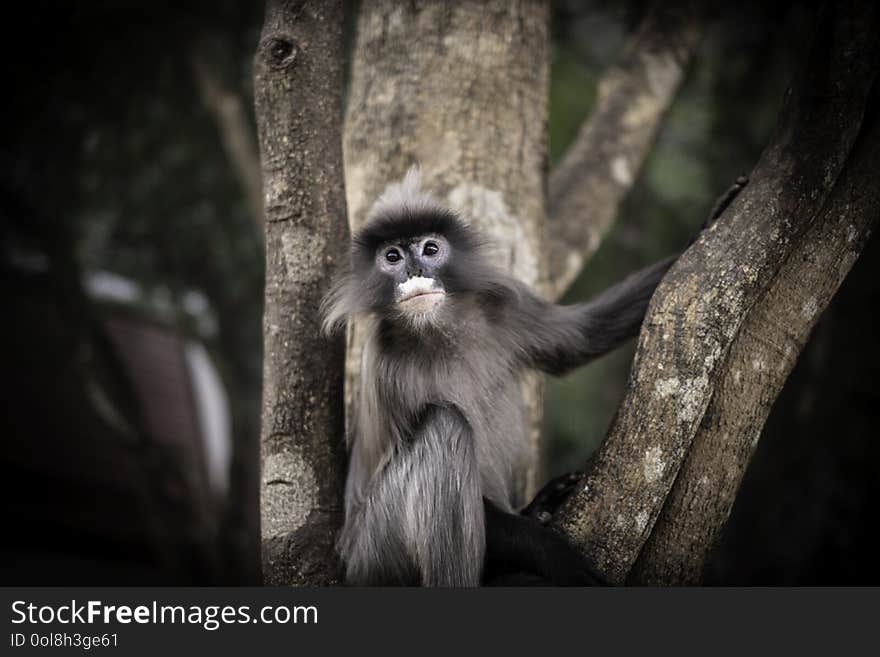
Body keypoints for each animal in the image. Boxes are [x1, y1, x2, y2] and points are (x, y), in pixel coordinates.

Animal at [324, 168, 680, 584]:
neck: (440, 331)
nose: (415, 271)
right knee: (446, 426)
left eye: (430, 249)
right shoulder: (385, 366)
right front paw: (552, 552)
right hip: (374, 552)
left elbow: (582, 337)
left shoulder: (503, 306)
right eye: (392, 257)